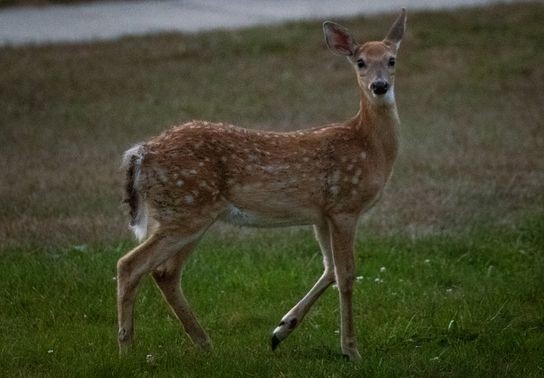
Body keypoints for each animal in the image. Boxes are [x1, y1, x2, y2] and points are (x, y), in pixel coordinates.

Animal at [117, 8, 406, 362]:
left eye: (392, 60)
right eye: (361, 61)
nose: (379, 86)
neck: (370, 147)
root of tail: (140, 153)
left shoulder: (321, 214)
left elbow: (329, 270)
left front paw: (280, 330)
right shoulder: (345, 207)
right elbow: (347, 275)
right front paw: (351, 350)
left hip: (185, 214)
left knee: (164, 273)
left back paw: (205, 344)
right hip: (186, 210)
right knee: (130, 265)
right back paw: (127, 349)